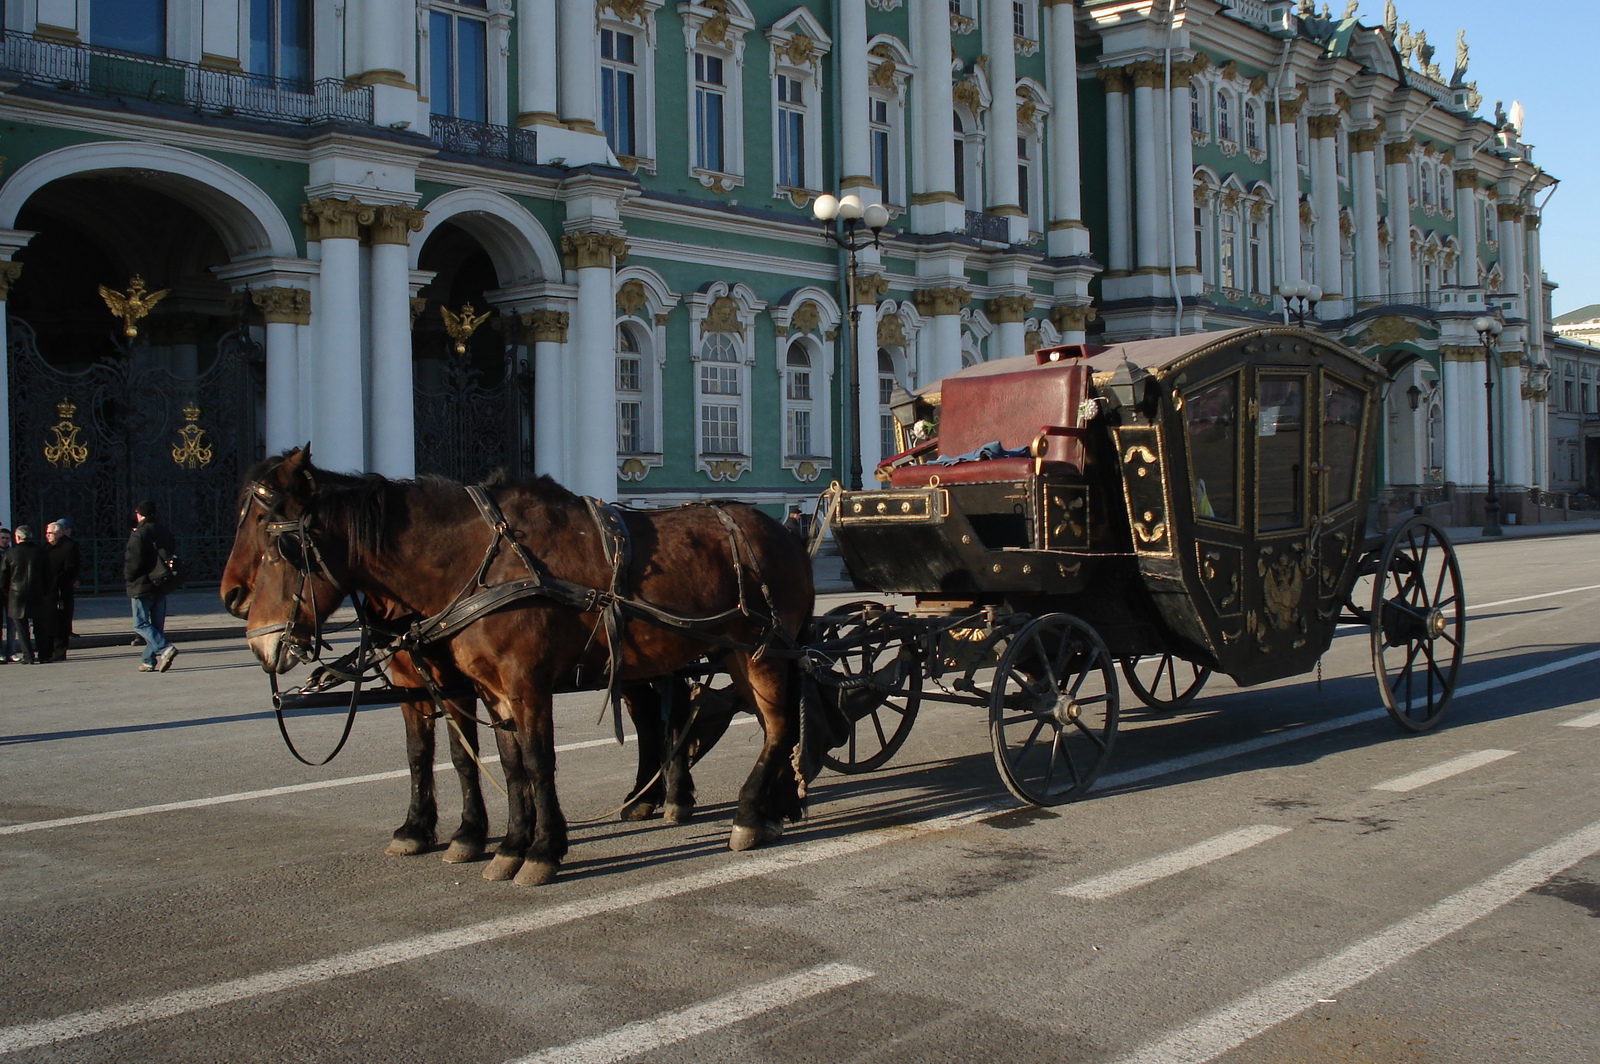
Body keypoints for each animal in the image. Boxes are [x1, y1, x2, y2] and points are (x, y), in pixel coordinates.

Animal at [220, 444, 819, 883]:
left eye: (277, 545)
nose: (242, 615)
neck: (479, 566)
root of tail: (783, 534)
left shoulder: (521, 685)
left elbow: (534, 761)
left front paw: (540, 849)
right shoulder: (476, 689)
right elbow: (480, 762)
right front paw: (497, 841)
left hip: (758, 653)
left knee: (775, 726)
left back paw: (746, 814)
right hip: (705, 656)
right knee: (692, 723)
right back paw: (736, 805)